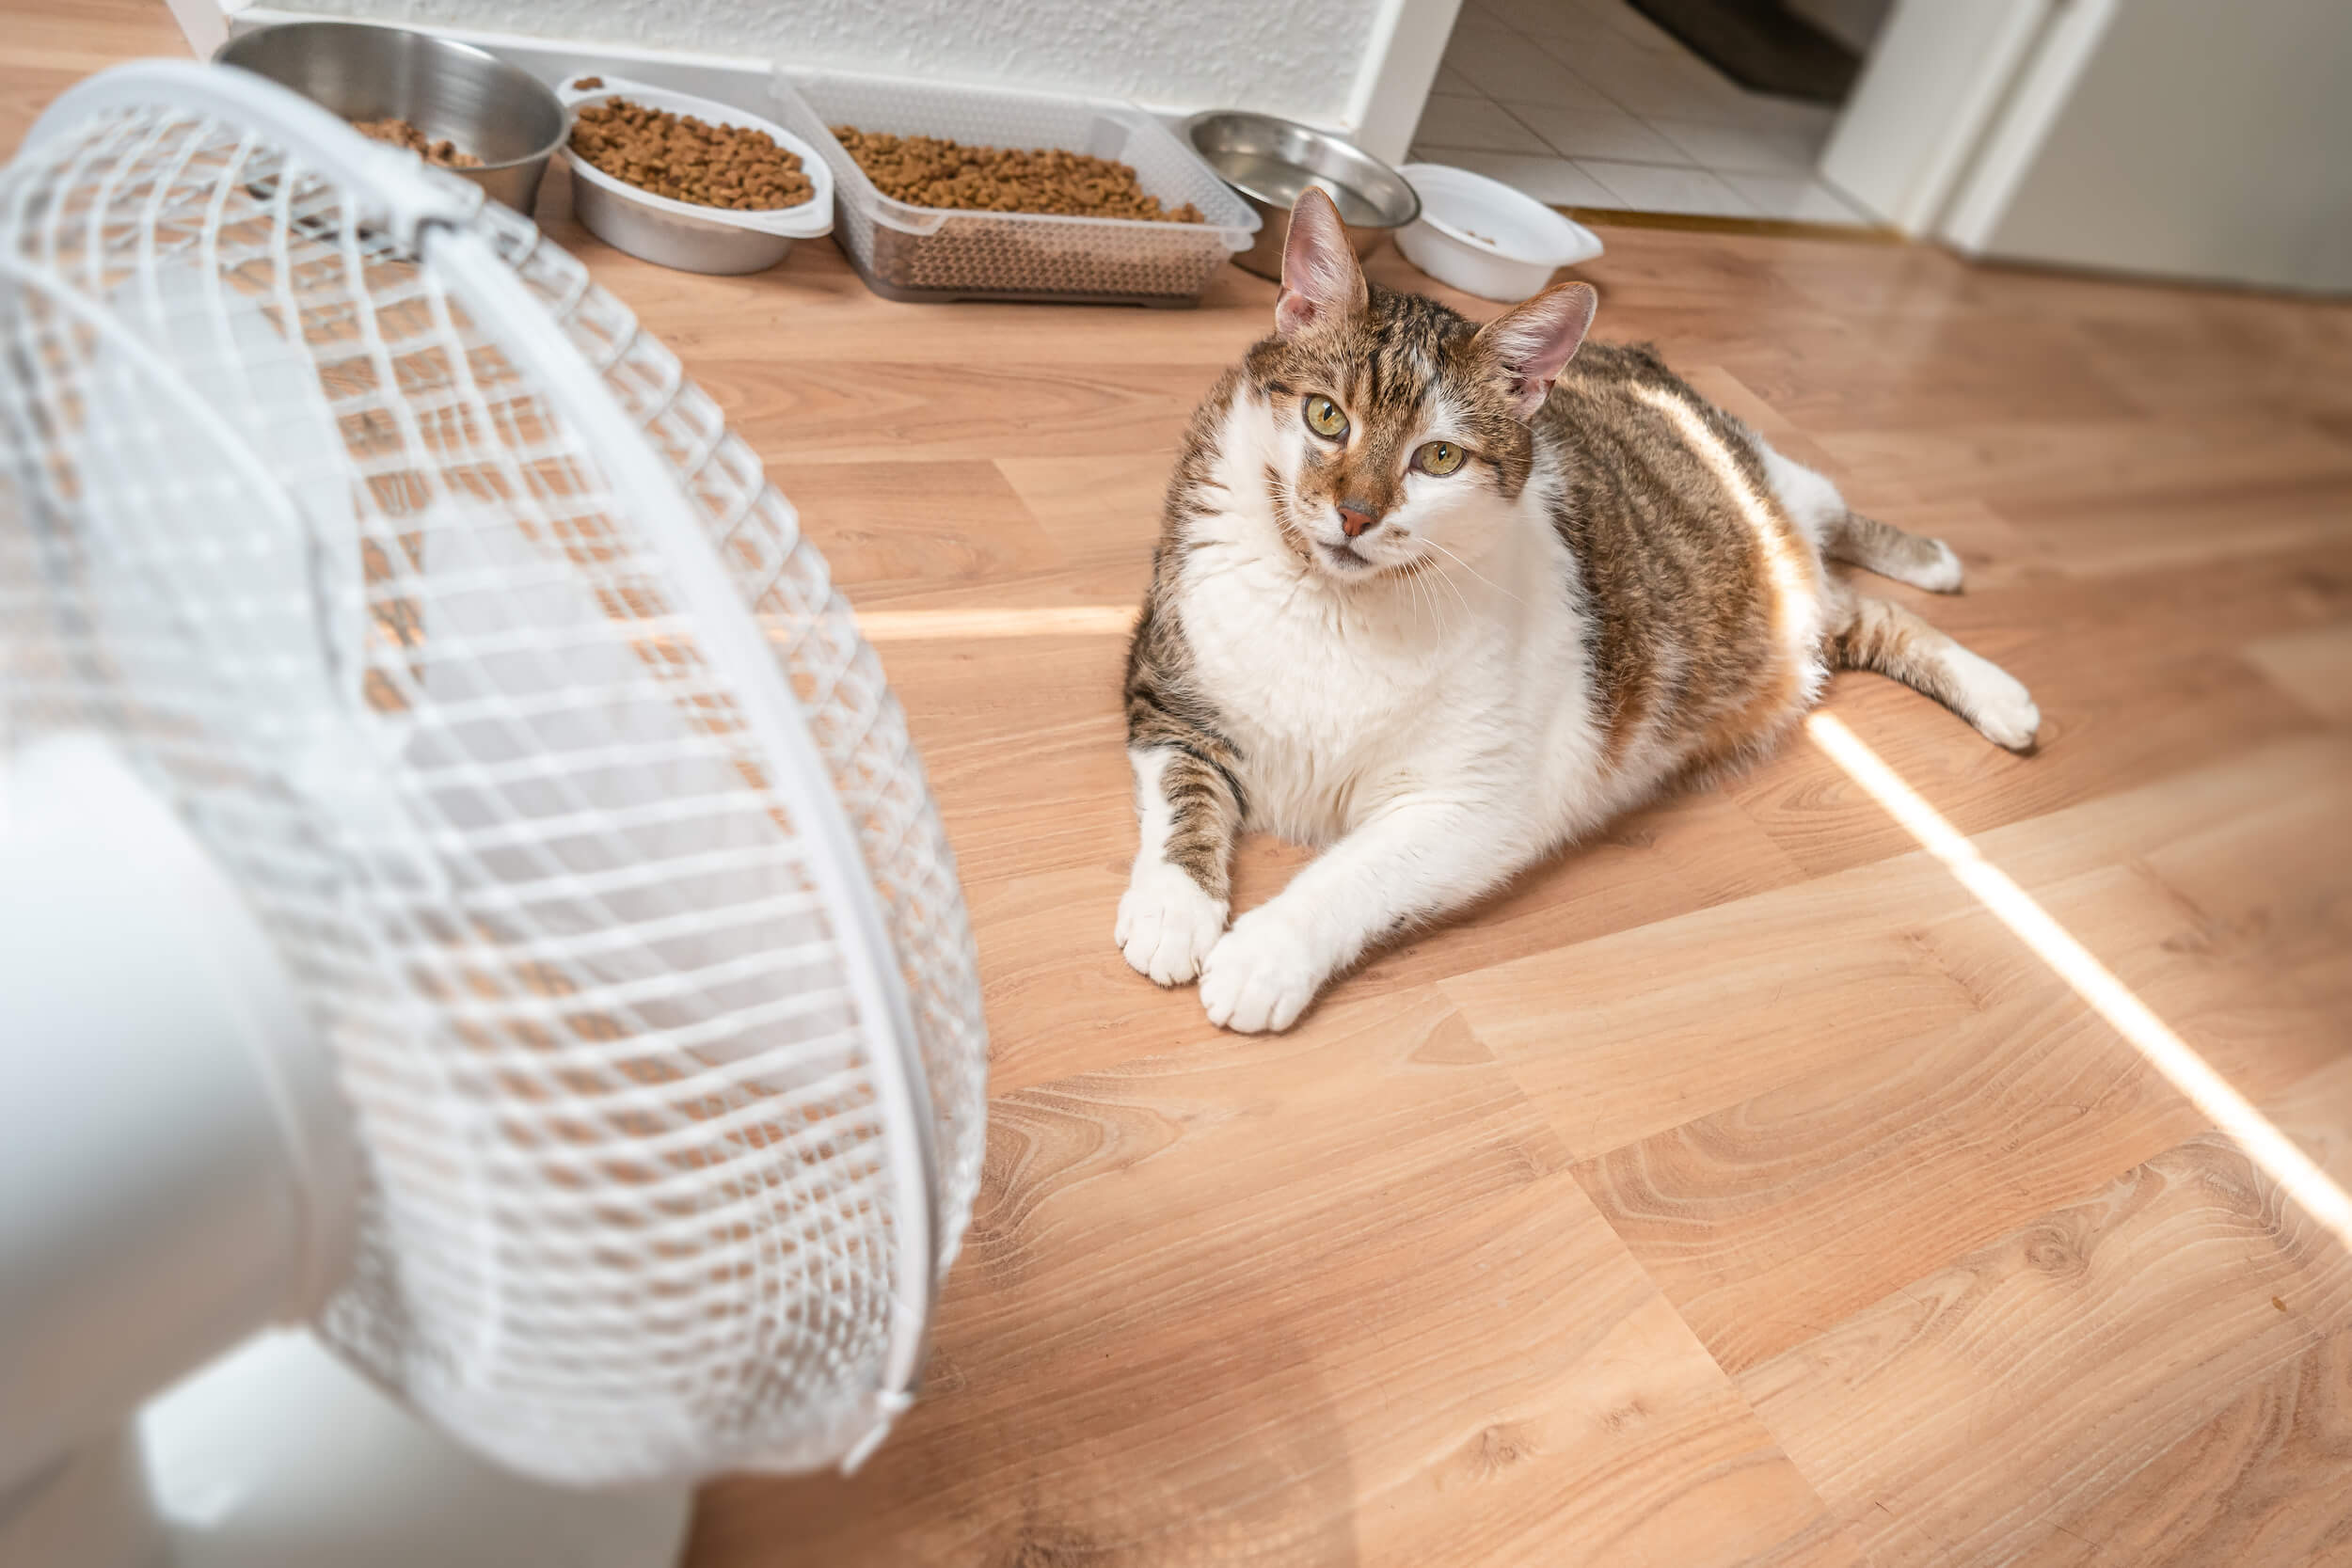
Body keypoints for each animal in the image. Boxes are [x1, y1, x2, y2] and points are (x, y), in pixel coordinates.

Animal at [1110, 190, 2032, 1034]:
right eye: (1325, 415)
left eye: (1438, 458)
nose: (1357, 514)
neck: (1335, 605)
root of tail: (1644, 360)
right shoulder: (1166, 685)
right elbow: (1184, 790)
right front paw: (1173, 909)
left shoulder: (1474, 804)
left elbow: (1350, 877)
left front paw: (1266, 955)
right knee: (1865, 612)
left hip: (1781, 498)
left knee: (1859, 555)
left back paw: (1968, 627)